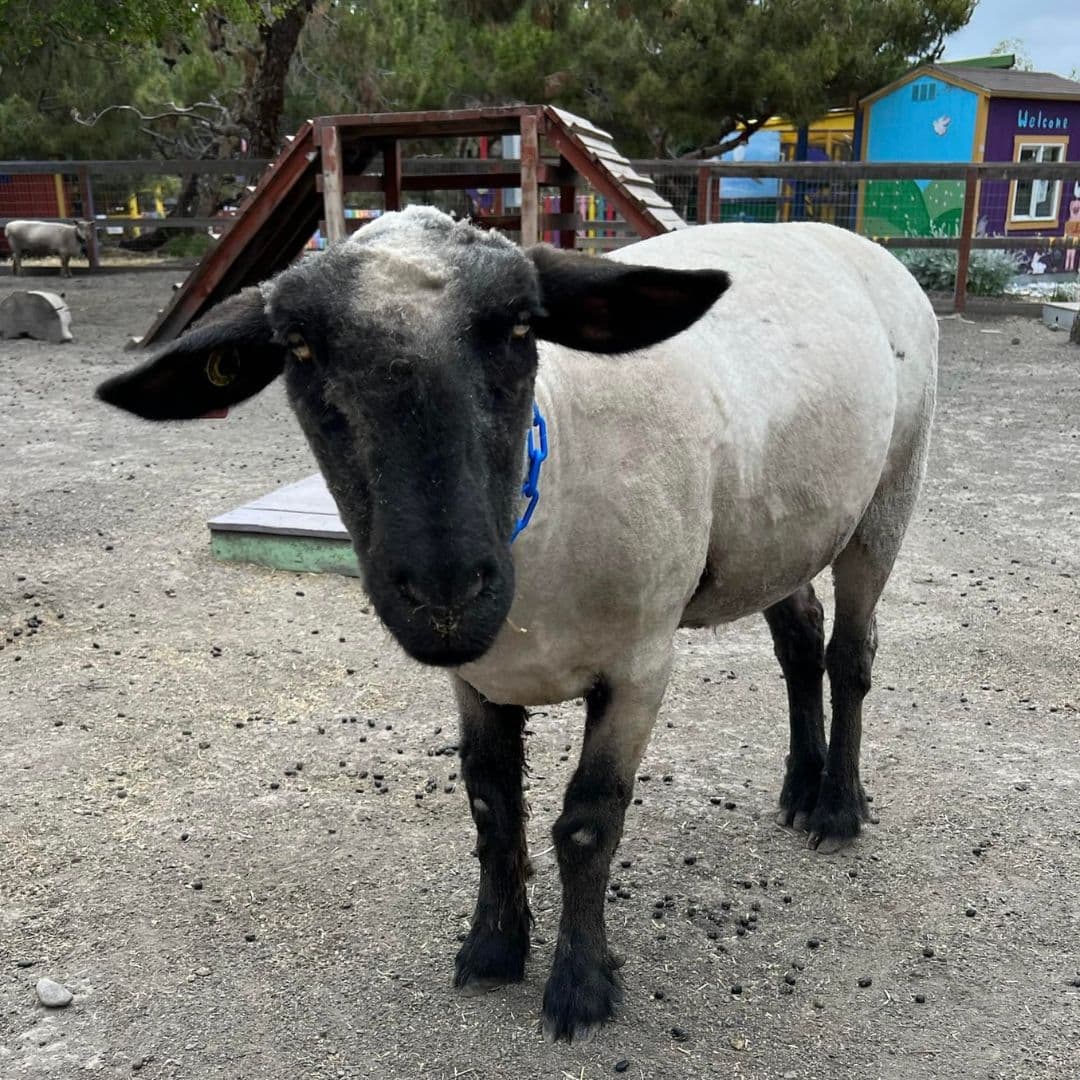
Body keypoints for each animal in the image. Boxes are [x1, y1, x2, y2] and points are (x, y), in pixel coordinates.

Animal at [96, 206, 938, 1042]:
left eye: (523, 326)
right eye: (297, 346)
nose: (446, 590)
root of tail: (827, 228)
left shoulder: (640, 665)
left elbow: (587, 823)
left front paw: (580, 988)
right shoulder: (476, 676)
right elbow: (491, 806)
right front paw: (494, 948)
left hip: (890, 492)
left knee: (850, 656)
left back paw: (837, 806)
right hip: (782, 529)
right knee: (799, 639)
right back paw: (799, 786)